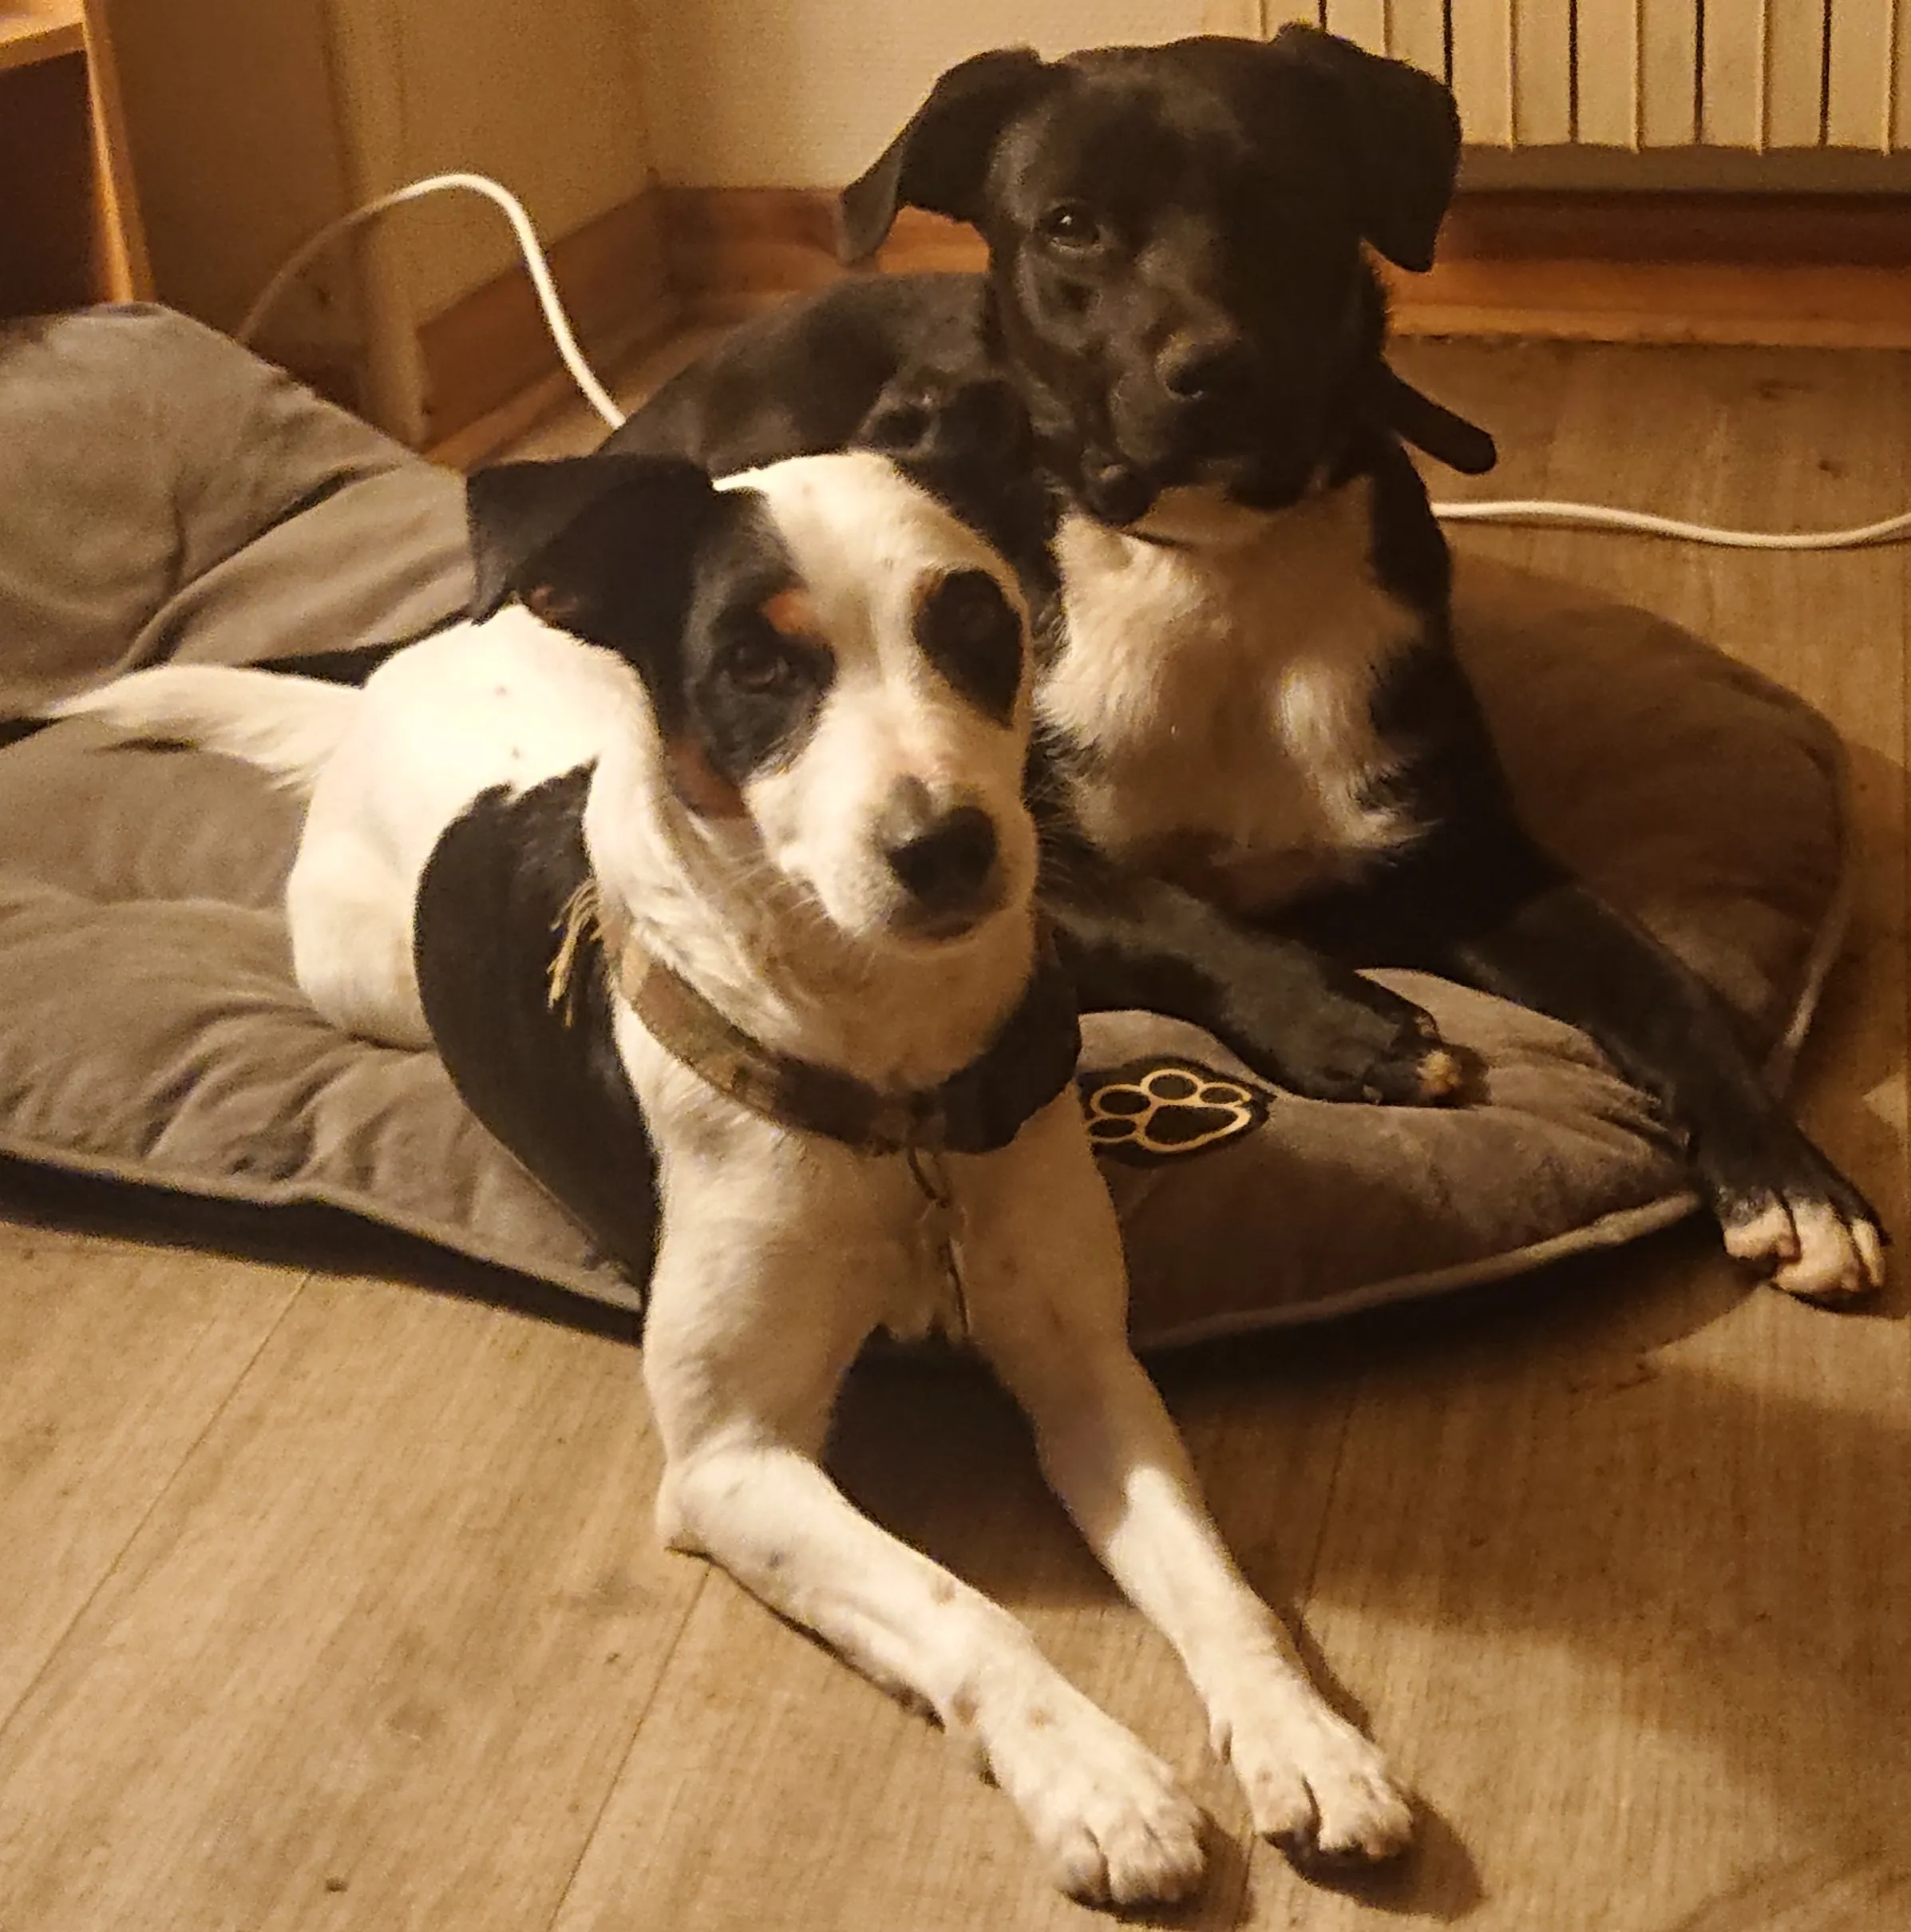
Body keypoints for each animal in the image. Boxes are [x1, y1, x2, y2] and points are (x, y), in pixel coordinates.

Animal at [53, 447, 1415, 1905]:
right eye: (753, 666)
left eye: (975, 624)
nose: (946, 847)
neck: (891, 1080)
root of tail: (389, 681)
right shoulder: (729, 1462)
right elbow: (965, 1609)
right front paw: (1096, 1780)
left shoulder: (1085, 1372)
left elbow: (1217, 1586)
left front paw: (1303, 1738)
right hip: (362, 985)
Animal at [603, 25, 1883, 1300]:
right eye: (1070, 223)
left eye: (1288, 198)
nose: (1212, 369)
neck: (1212, 556)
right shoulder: (1021, 872)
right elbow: (1169, 912)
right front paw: (1346, 1023)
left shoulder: (1467, 855)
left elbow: (1661, 985)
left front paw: (1790, 1179)